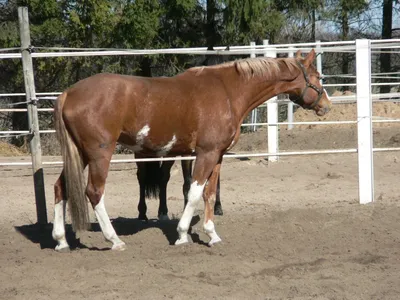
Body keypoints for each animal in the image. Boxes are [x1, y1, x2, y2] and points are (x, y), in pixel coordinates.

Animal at [51, 49, 332, 251]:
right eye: (318, 77)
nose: (326, 106)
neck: (228, 91)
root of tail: (69, 93)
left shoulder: (217, 155)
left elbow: (209, 193)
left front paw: (212, 235)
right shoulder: (205, 153)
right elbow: (194, 192)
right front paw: (182, 234)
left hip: (80, 154)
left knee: (60, 187)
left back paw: (61, 240)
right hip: (99, 154)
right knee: (94, 192)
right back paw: (115, 240)